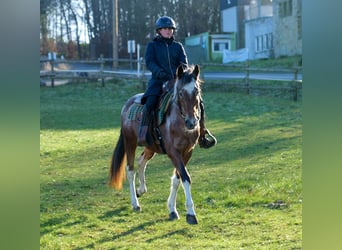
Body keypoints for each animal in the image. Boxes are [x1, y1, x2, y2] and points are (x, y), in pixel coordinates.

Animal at [110, 64, 203, 225]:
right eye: (180, 93)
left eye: (196, 91)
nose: (191, 122)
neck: (178, 122)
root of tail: (127, 104)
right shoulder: (174, 153)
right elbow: (185, 177)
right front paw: (191, 213)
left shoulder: (187, 152)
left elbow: (177, 179)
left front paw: (172, 209)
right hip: (130, 142)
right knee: (130, 170)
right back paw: (135, 203)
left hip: (150, 147)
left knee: (141, 161)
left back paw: (141, 190)